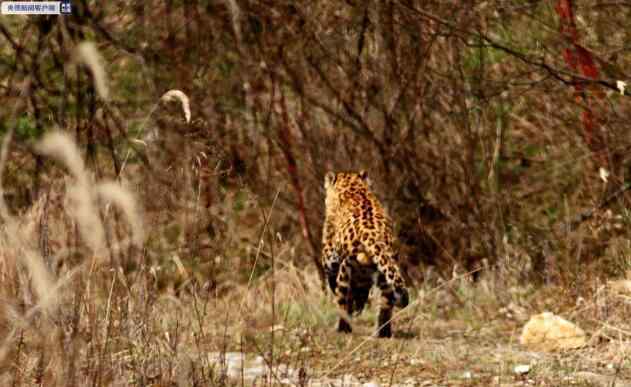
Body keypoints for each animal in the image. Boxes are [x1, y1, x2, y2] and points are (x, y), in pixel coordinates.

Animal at [320, 171, 410, 338]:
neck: (354, 186)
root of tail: (374, 236)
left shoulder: (329, 254)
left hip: (345, 271)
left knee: (343, 303)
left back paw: (342, 329)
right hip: (384, 275)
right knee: (385, 306)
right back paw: (383, 333)